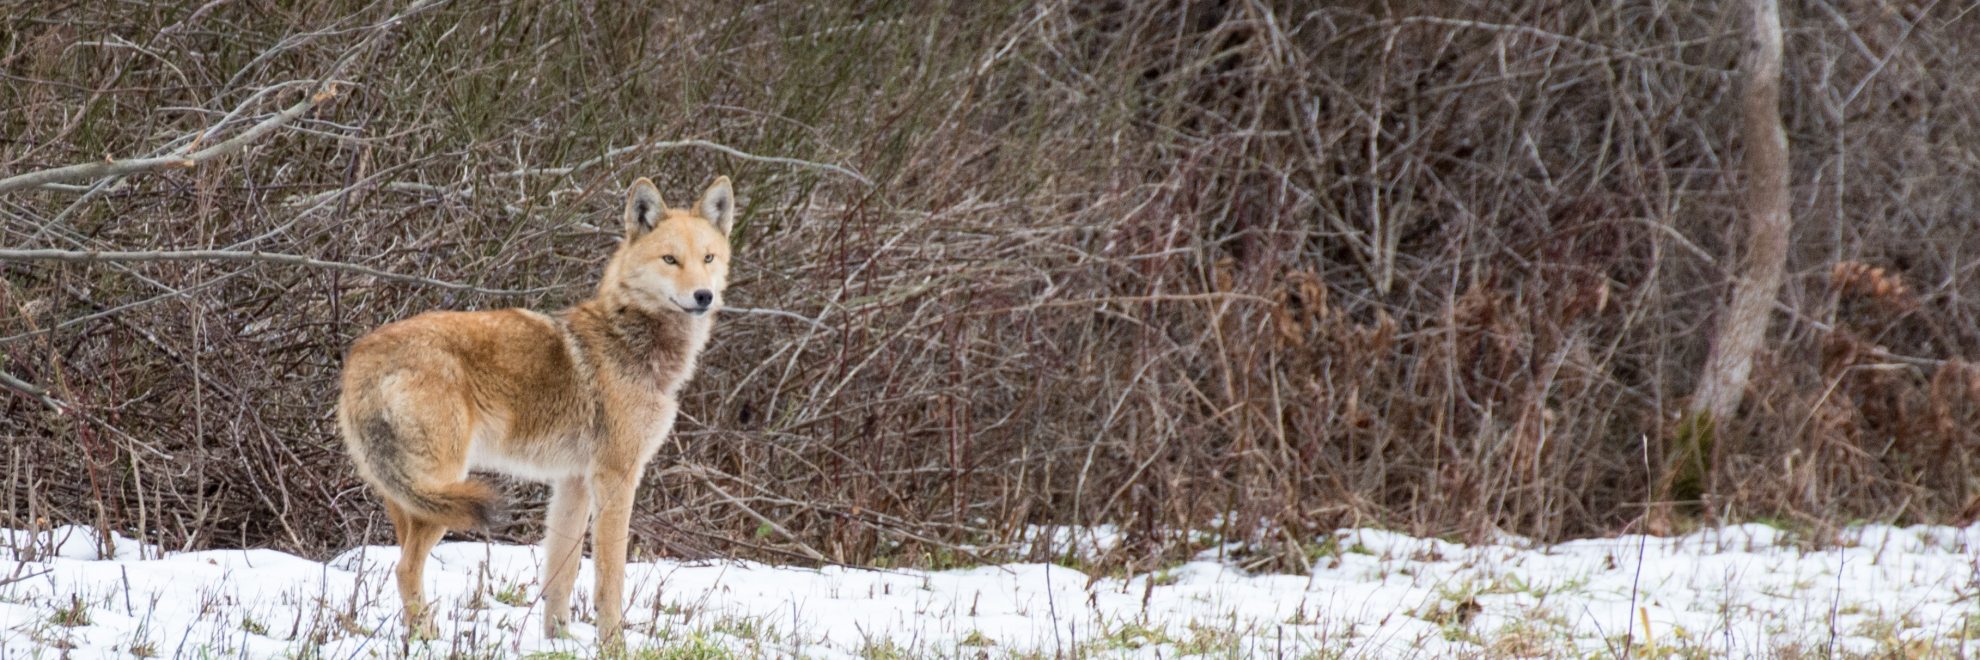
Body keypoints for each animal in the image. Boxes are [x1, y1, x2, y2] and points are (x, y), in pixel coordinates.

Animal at [335, 175, 735, 641]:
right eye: (670, 259)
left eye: (708, 258)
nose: (703, 296)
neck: (630, 341)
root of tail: (362, 355)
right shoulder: (616, 477)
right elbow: (609, 579)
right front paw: (613, 644)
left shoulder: (572, 483)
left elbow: (560, 575)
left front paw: (558, 641)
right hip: (445, 490)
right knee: (404, 569)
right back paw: (429, 642)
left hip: (413, 498)